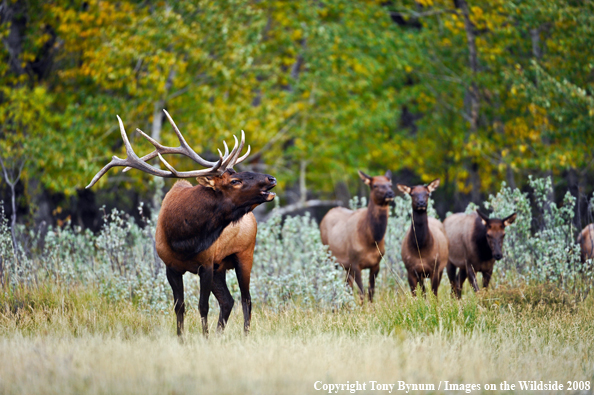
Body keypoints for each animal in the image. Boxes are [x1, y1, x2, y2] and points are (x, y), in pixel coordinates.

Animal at [86, 110, 276, 338]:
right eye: (235, 181)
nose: (271, 179)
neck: (183, 237)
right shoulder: (171, 266)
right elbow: (180, 306)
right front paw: (182, 338)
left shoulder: (206, 264)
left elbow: (203, 306)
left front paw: (204, 337)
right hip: (221, 266)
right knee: (228, 301)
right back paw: (220, 334)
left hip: (244, 254)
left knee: (246, 299)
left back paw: (244, 335)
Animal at [320, 171, 394, 304]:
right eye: (375, 185)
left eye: (390, 184)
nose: (390, 193)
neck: (371, 239)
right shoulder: (355, 263)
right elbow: (361, 292)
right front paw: (363, 307)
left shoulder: (376, 263)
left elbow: (371, 291)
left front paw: (371, 306)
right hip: (329, 256)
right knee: (333, 281)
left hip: (345, 266)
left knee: (347, 284)